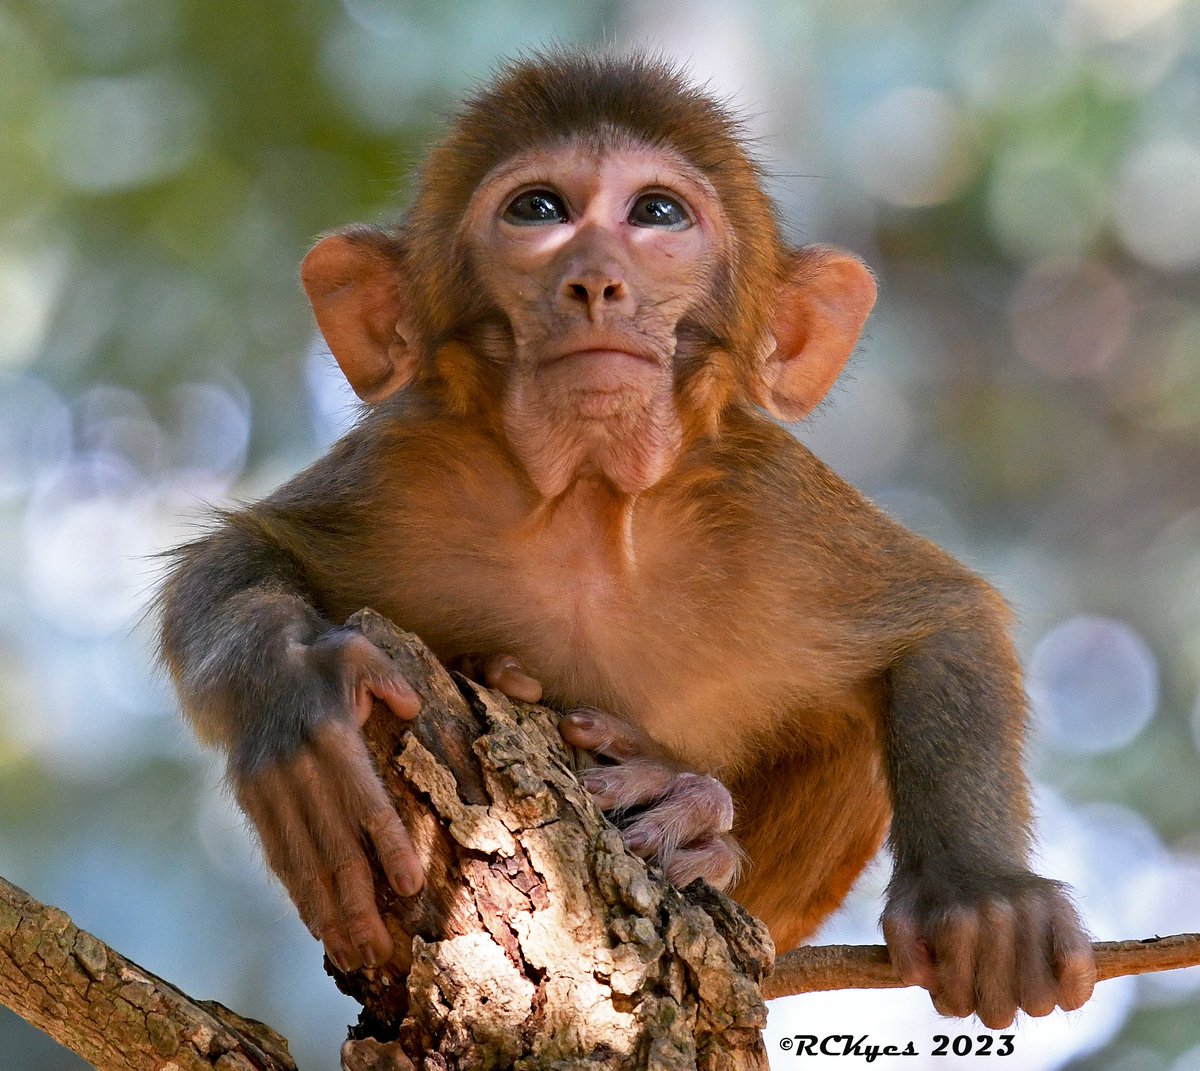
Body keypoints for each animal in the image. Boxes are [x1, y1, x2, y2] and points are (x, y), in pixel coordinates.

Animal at [157, 50, 1095, 1030]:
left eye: (657, 213)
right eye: (538, 209)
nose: (596, 280)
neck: (589, 510)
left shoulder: (767, 501)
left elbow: (940, 617)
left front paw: (982, 896)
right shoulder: (413, 464)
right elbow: (245, 551)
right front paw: (293, 690)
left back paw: (695, 817)